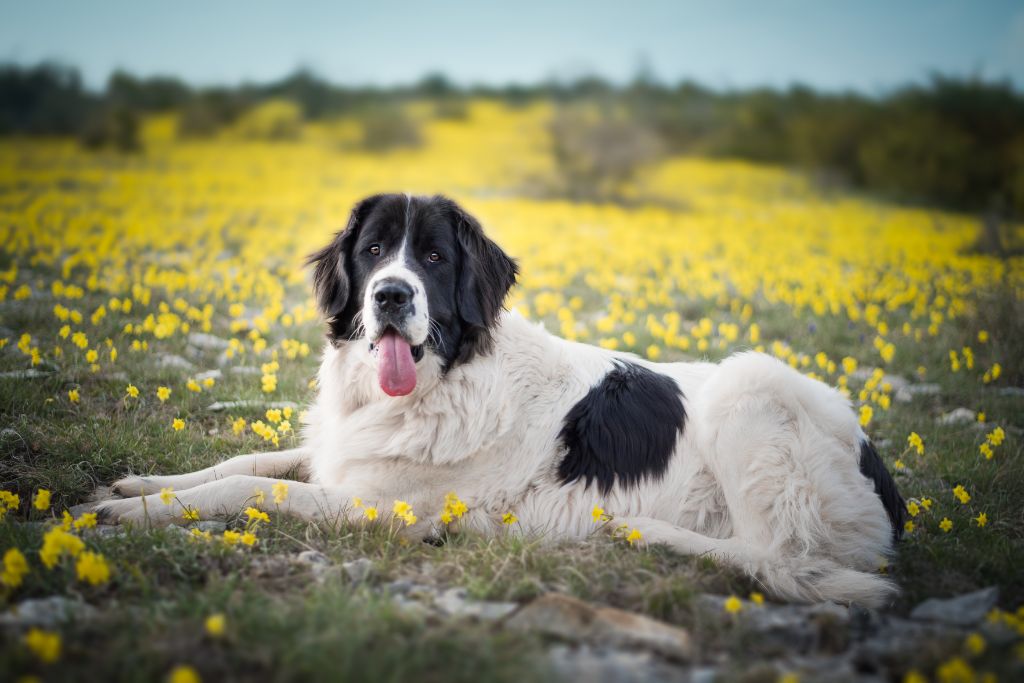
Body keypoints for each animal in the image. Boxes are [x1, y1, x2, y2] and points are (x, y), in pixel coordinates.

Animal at [101, 194, 905, 606]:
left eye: (433, 257)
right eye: (372, 251)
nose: (391, 295)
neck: (448, 377)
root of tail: (883, 475)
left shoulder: (381, 507)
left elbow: (253, 488)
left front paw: (131, 514)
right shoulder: (343, 456)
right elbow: (248, 460)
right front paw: (142, 485)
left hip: (752, 386)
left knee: (779, 558)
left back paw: (637, 534)